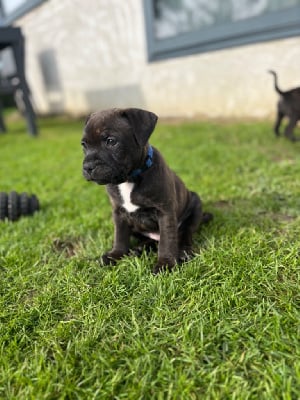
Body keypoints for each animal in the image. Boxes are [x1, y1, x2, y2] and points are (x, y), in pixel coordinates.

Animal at [82, 108, 212, 274]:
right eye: (84, 145)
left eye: (111, 141)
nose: (88, 167)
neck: (129, 179)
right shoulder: (119, 213)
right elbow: (120, 236)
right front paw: (115, 255)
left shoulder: (165, 212)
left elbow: (167, 241)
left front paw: (165, 264)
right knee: (151, 240)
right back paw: (139, 249)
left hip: (195, 205)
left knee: (184, 233)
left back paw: (183, 251)